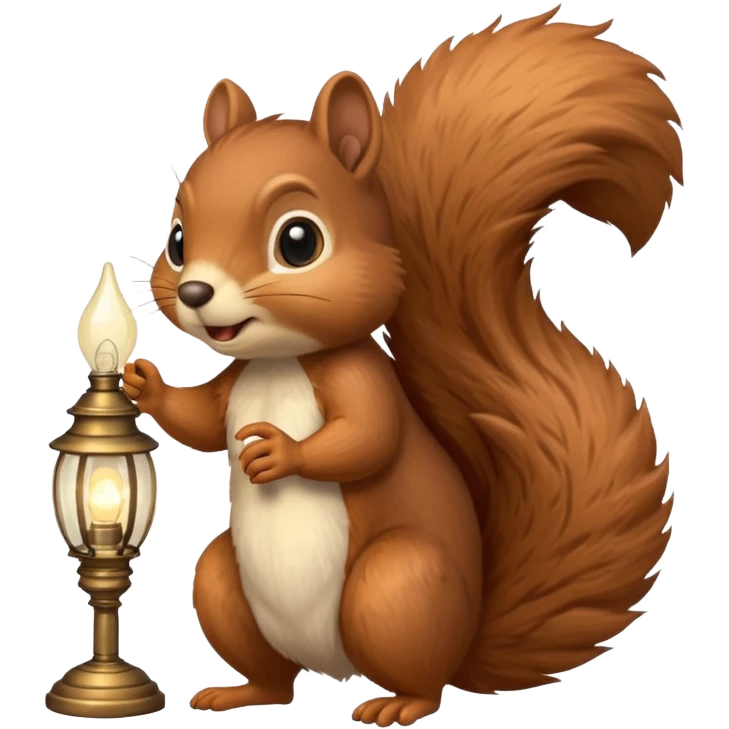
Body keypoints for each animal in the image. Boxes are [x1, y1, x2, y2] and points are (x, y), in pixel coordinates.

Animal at [126, 7, 682, 725]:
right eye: (177, 239)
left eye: (298, 240)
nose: (194, 292)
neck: (281, 363)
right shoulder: (234, 383)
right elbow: (199, 420)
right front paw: (146, 384)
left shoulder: (362, 379)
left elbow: (367, 437)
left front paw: (278, 451)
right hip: (227, 581)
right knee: (274, 673)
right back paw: (243, 691)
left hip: (397, 585)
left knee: (422, 676)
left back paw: (397, 703)